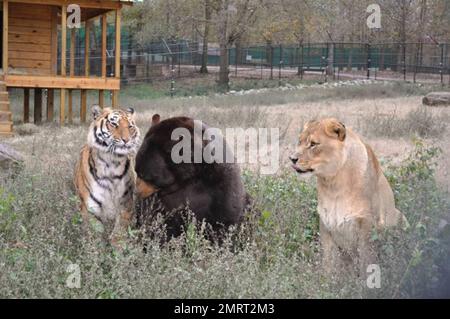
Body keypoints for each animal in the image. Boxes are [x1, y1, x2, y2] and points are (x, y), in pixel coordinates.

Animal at [74, 105, 141, 245]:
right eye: (114, 124)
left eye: (130, 126)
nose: (126, 140)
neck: (112, 162)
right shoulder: (91, 208)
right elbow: (95, 235)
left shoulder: (125, 204)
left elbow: (119, 234)